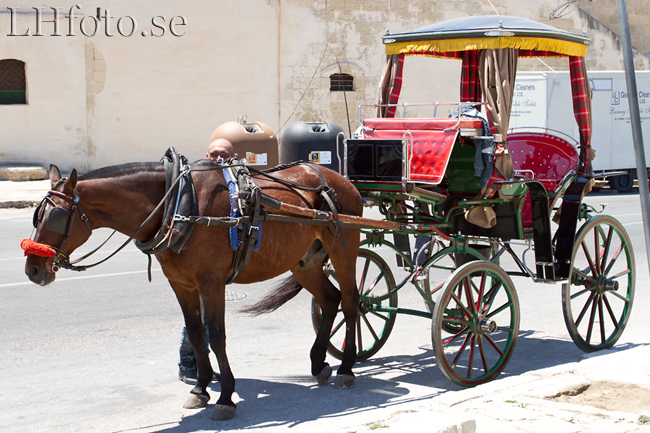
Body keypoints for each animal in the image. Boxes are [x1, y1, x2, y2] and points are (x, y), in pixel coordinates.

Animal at [21, 158, 360, 418]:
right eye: (37, 216)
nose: (32, 270)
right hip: (305, 262)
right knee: (330, 300)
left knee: (351, 301)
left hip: (345, 252)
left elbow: (217, 336)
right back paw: (318, 362)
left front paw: (225, 397)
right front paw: (200, 387)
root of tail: (340, 179)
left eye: (56, 216)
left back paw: (346, 368)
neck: (179, 207)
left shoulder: (211, 283)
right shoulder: (181, 284)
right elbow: (196, 334)